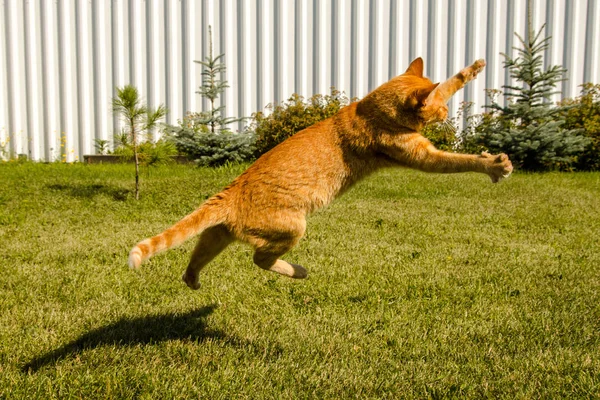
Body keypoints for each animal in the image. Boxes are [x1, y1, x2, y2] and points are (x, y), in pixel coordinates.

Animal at [129, 57, 512, 288]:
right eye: (440, 108)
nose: (447, 114)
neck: (368, 109)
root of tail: (233, 190)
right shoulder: (423, 157)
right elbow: (460, 160)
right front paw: (494, 165)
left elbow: (451, 80)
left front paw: (474, 68)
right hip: (292, 227)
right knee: (260, 259)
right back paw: (297, 271)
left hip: (216, 236)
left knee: (196, 258)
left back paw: (192, 279)